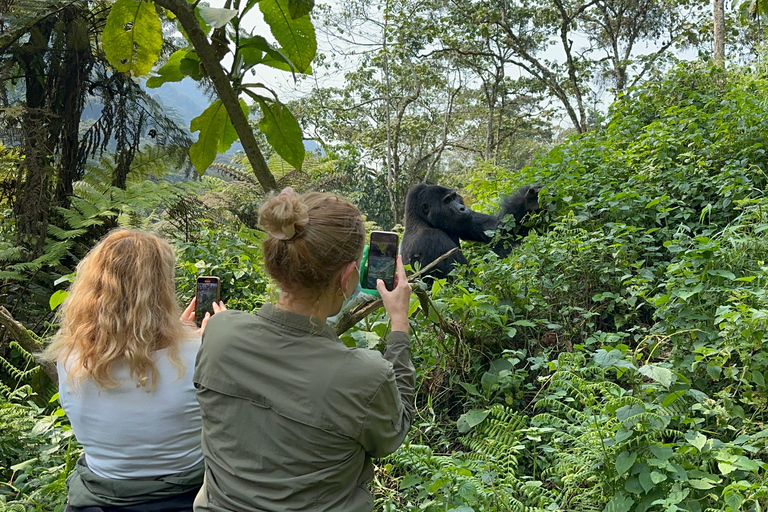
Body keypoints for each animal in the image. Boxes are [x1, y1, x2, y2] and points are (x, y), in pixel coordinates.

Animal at [400, 183, 544, 280]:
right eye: (447, 201)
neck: (421, 220)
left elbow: (496, 228)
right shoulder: (433, 238)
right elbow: (471, 282)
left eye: (454, 197)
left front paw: (529, 201)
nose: (463, 208)